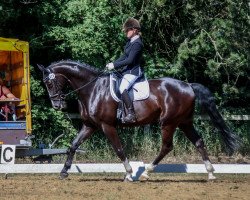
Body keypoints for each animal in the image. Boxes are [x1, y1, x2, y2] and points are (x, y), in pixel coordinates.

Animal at [38, 60, 239, 180]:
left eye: (49, 83)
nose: (57, 105)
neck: (93, 88)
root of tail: (188, 85)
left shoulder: (106, 125)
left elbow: (118, 149)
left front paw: (128, 174)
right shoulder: (90, 125)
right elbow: (73, 145)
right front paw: (64, 172)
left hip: (169, 122)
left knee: (167, 146)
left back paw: (147, 172)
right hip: (184, 122)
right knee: (198, 142)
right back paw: (210, 173)